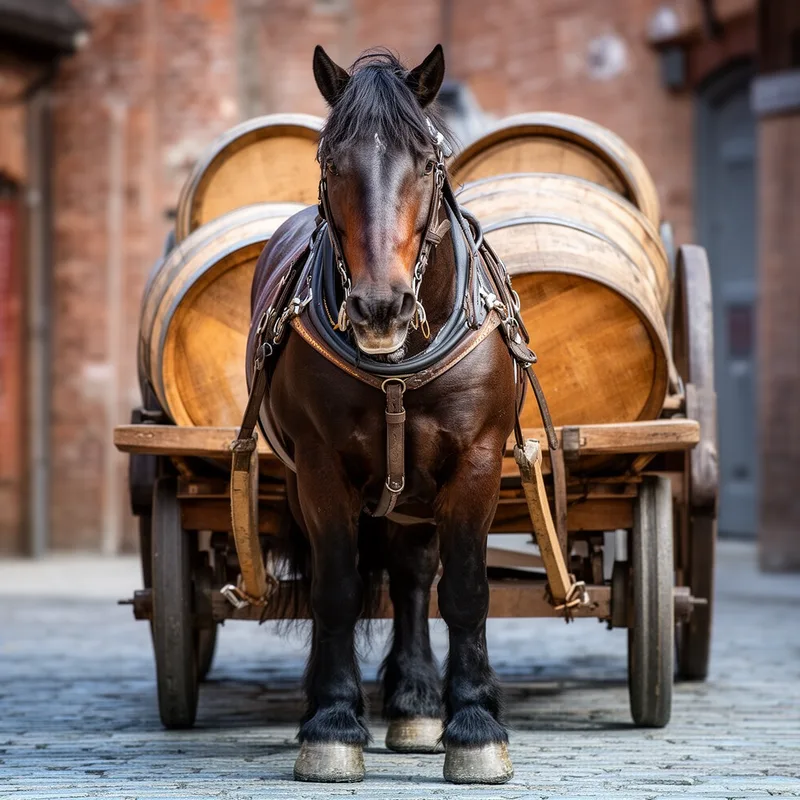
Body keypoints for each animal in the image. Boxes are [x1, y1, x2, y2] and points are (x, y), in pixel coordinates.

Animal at [246, 44, 528, 784]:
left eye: (427, 161)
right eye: (329, 162)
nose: (380, 307)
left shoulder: (476, 462)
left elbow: (464, 590)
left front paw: (474, 725)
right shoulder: (320, 470)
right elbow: (337, 589)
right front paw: (333, 723)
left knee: (413, 576)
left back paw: (418, 701)